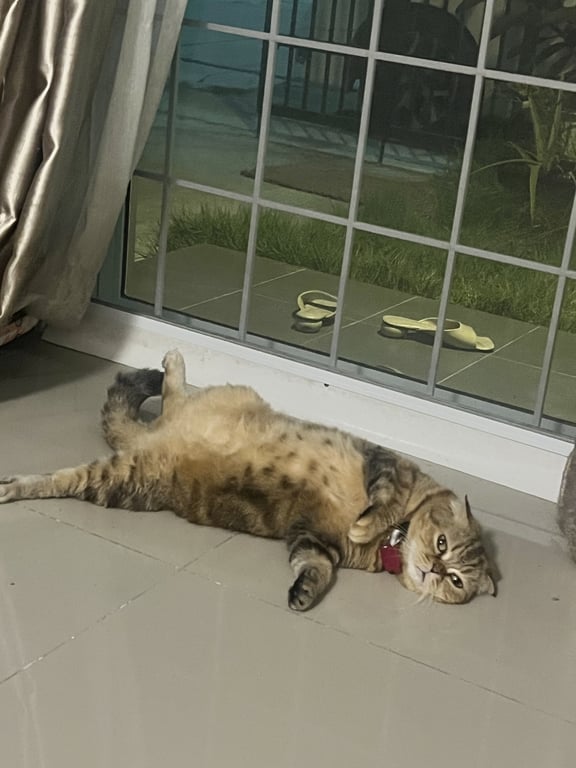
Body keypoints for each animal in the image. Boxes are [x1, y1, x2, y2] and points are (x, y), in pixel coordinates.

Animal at [0, 350, 496, 610]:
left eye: (456, 582)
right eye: (442, 545)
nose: (436, 570)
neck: (393, 541)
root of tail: (152, 438)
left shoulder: (312, 537)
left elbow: (315, 567)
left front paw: (304, 594)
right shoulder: (386, 464)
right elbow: (384, 499)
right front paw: (365, 521)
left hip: (117, 482)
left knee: (59, 479)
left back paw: (11, 487)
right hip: (222, 401)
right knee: (174, 394)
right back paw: (173, 361)